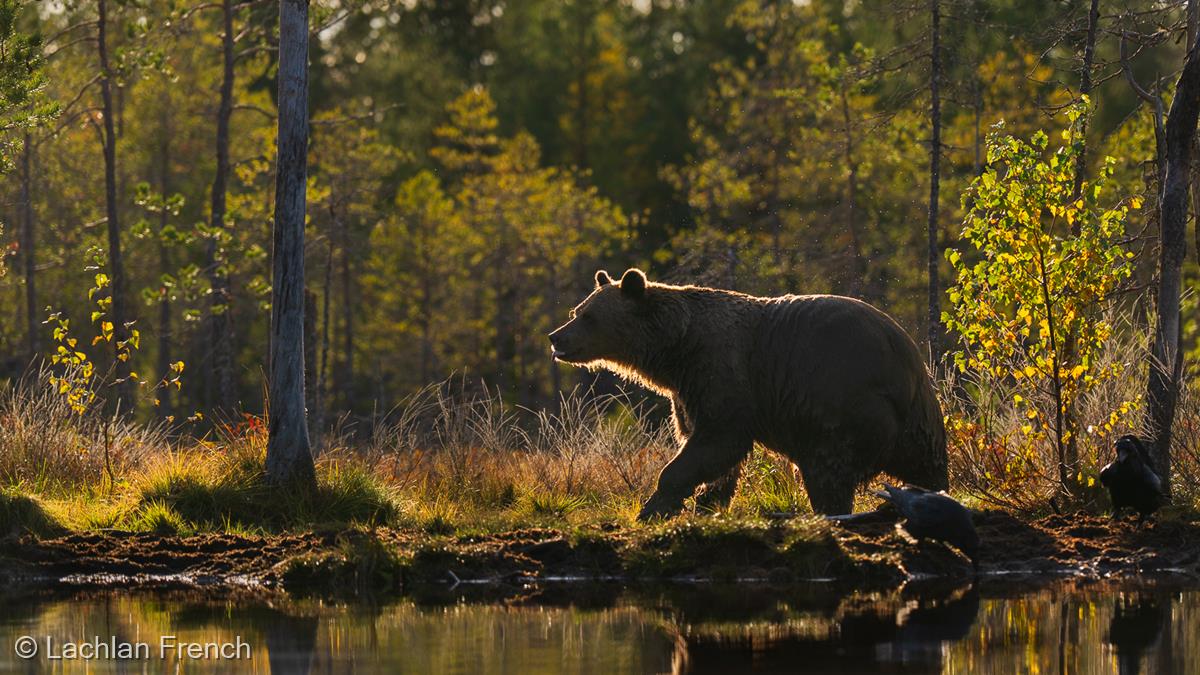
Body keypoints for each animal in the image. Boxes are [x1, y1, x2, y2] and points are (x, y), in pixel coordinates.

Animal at [547, 268, 947, 519]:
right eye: (576, 310)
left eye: (589, 317)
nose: (556, 337)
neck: (676, 350)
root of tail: (908, 357)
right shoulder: (688, 390)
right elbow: (707, 447)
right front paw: (707, 501)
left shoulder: (722, 371)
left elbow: (718, 440)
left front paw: (654, 506)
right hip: (916, 422)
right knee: (926, 463)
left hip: (846, 400)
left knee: (827, 468)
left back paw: (831, 510)